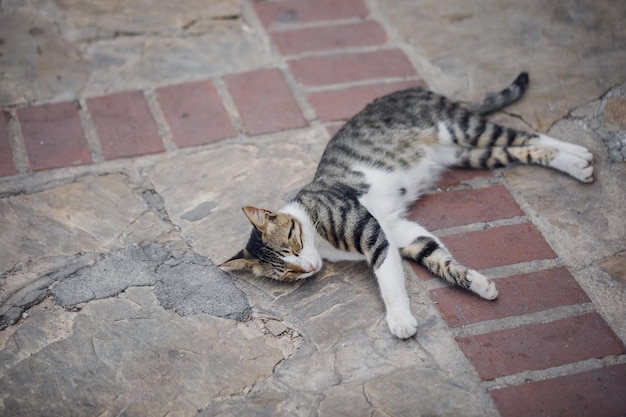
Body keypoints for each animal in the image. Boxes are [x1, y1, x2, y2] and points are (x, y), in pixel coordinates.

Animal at [222, 72, 592, 338]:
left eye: (293, 245)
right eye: (287, 272)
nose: (309, 268)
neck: (315, 228)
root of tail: (416, 90)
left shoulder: (372, 233)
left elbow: (388, 280)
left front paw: (400, 319)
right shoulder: (399, 230)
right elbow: (439, 259)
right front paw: (478, 284)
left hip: (463, 129)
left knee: (527, 135)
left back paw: (579, 154)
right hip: (469, 154)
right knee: (520, 149)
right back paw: (576, 161)